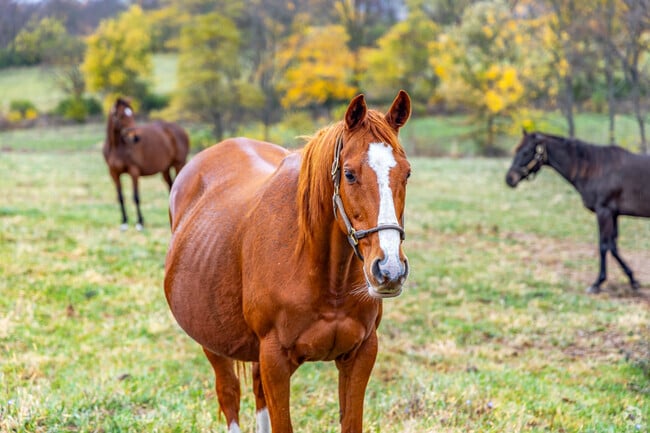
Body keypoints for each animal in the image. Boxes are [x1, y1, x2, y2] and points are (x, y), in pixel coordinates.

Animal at [103, 97, 190, 231]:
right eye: (121, 115)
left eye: (132, 114)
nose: (135, 138)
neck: (117, 147)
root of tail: (180, 130)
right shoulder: (113, 173)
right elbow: (120, 197)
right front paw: (124, 222)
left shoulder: (134, 171)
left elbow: (136, 197)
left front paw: (140, 223)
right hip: (165, 169)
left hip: (179, 164)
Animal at [164, 91, 412, 432]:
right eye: (349, 174)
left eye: (407, 173)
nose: (389, 270)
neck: (324, 276)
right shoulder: (275, 360)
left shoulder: (360, 355)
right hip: (213, 343)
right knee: (229, 394)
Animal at [505, 129, 650, 293]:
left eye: (526, 151)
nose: (509, 179)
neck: (596, 169)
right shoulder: (613, 214)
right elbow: (613, 246)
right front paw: (633, 280)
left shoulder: (604, 212)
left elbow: (603, 246)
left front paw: (597, 283)